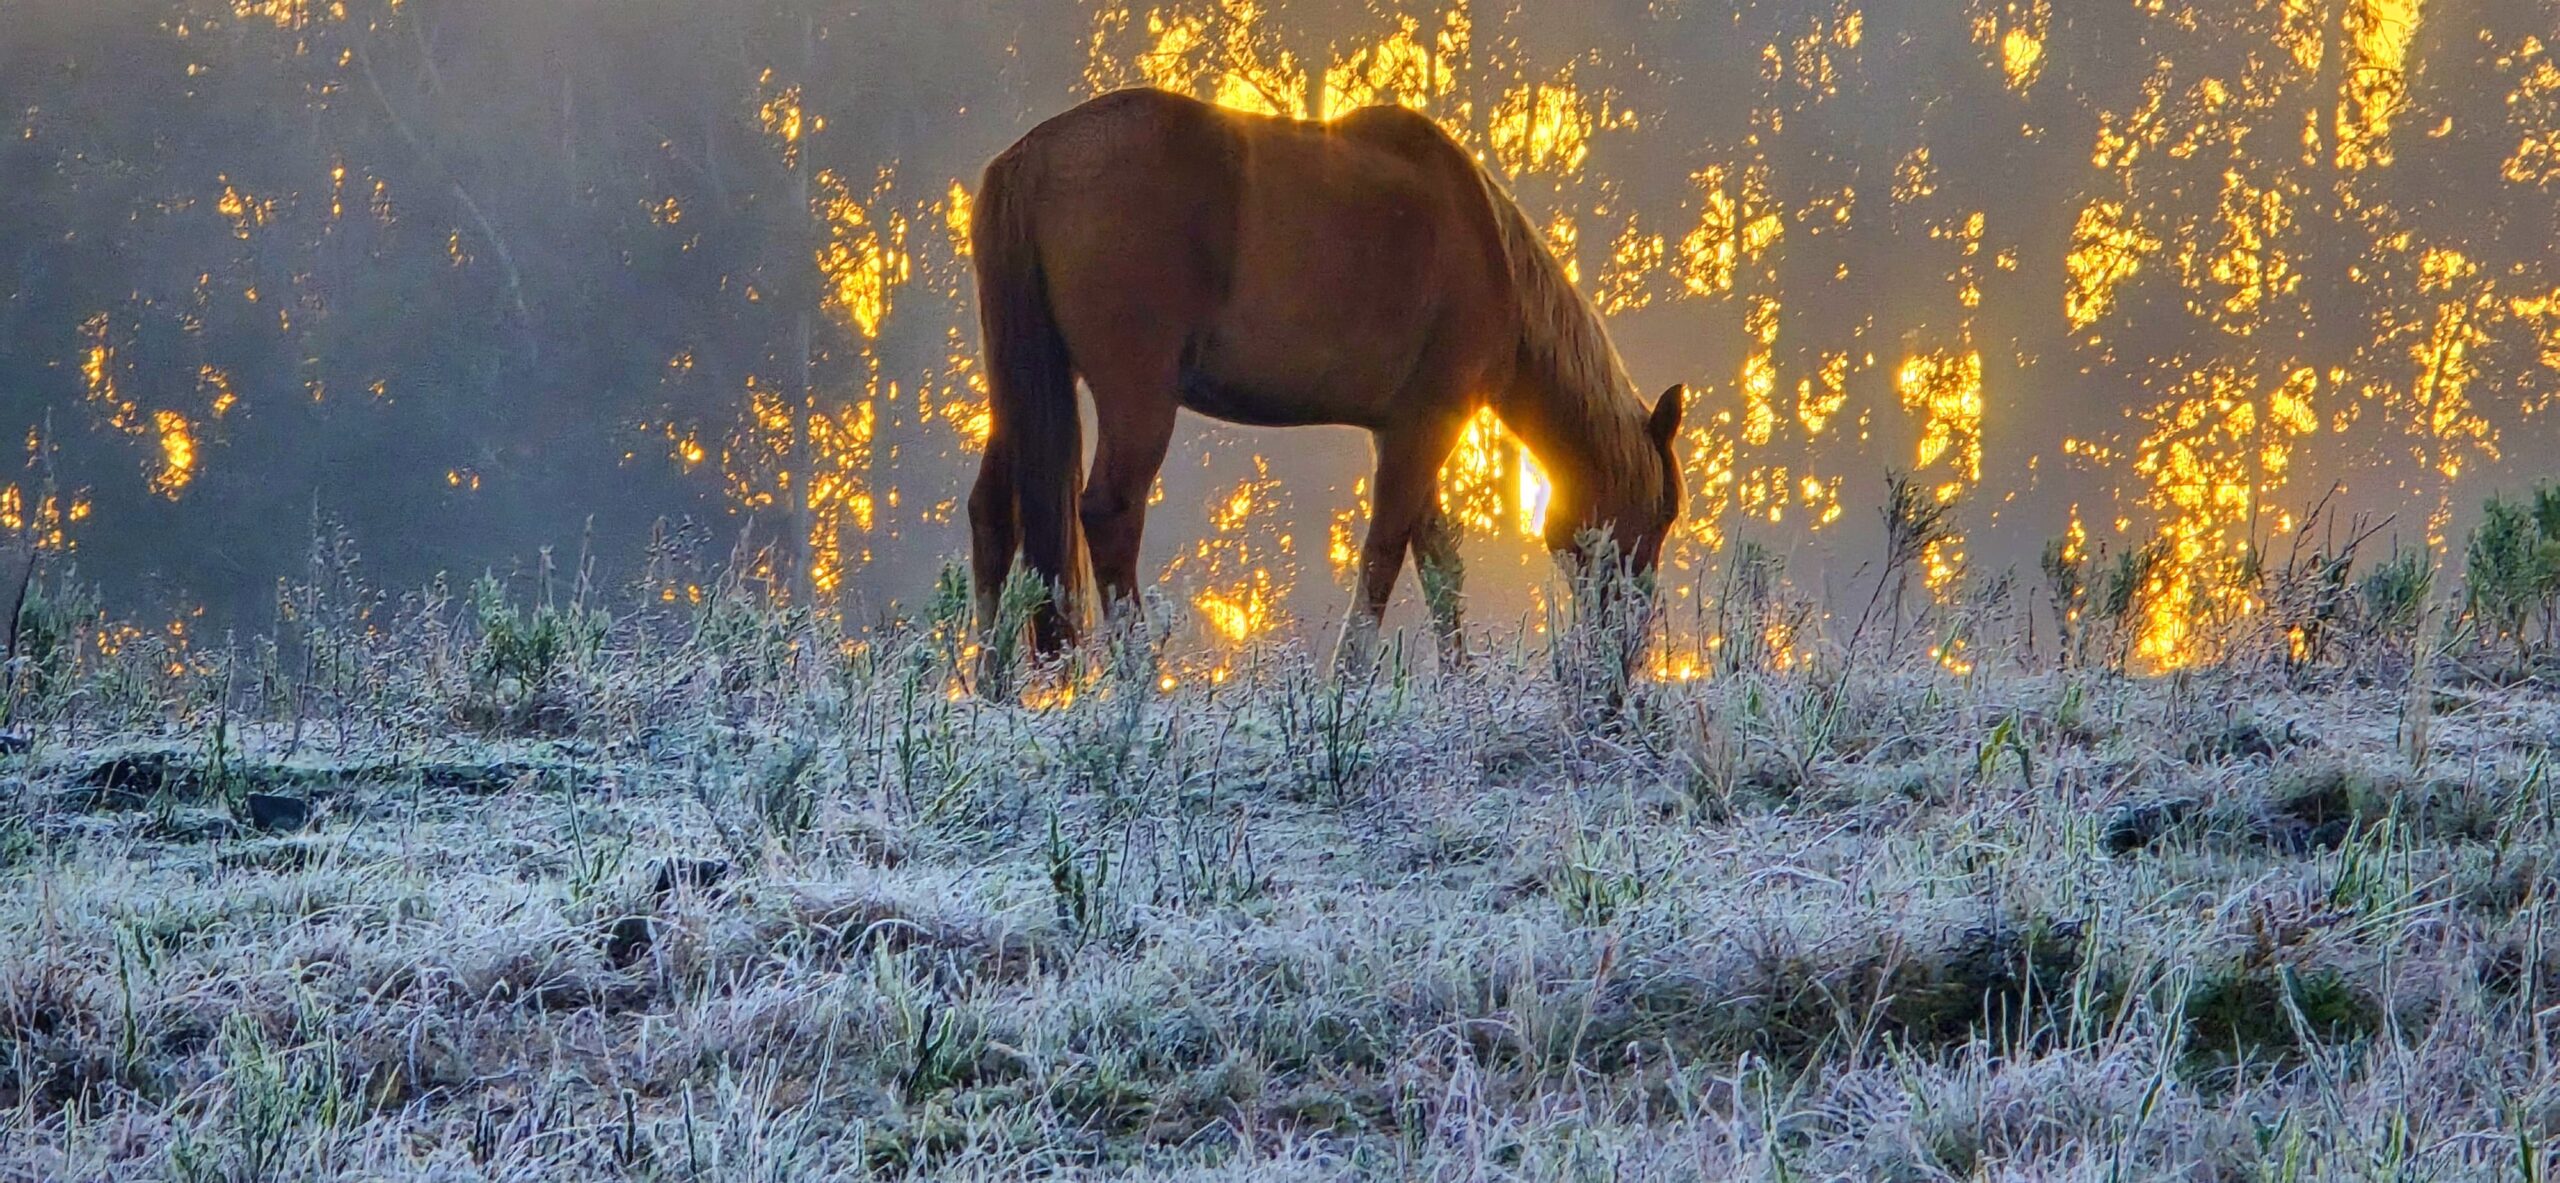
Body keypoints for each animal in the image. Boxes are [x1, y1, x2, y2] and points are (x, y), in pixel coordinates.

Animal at [967, 87, 1684, 680]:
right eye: (1664, 514)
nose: (1631, 642)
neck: (1492, 252)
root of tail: (1033, 158)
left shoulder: (1403, 427)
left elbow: (1437, 560)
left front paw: (1460, 681)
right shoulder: (1431, 421)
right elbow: (1387, 553)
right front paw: (1350, 676)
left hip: (1019, 389)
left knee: (992, 511)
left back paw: (995, 688)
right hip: (1137, 397)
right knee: (1109, 513)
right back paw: (1137, 680)